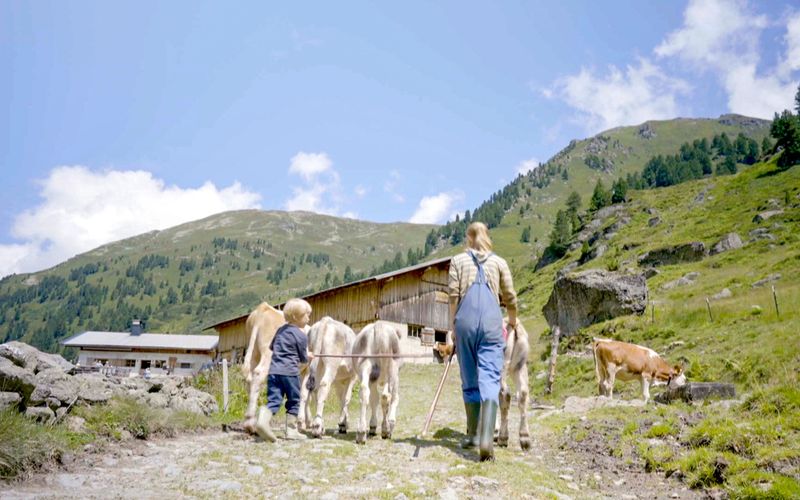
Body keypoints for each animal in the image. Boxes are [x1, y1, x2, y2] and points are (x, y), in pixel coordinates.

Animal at [239, 300, 286, 434]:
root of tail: (263, 309)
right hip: (268, 353)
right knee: (258, 373)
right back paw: (251, 424)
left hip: (254, 352)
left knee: (250, 378)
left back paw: (249, 422)